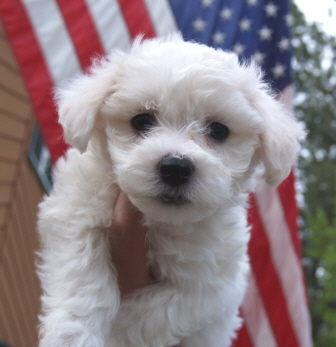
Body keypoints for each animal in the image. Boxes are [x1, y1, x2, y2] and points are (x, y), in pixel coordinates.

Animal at [36, 34, 302, 346]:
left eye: (218, 130)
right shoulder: (75, 209)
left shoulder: (216, 285)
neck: (159, 221)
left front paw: (120, 323)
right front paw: (72, 335)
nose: (175, 167)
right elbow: (82, 276)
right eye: (141, 121)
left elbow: (158, 311)